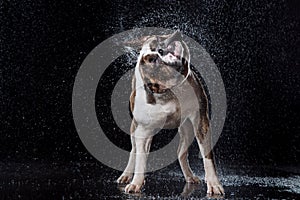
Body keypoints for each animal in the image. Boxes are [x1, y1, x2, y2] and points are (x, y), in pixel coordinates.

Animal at [116, 31, 224, 195]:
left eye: (160, 38)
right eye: (152, 59)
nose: (175, 35)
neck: (169, 89)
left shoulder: (201, 121)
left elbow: (207, 155)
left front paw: (214, 184)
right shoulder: (143, 131)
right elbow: (140, 158)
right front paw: (136, 183)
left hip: (187, 130)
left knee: (181, 152)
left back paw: (189, 176)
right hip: (136, 129)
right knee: (134, 151)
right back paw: (127, 175)